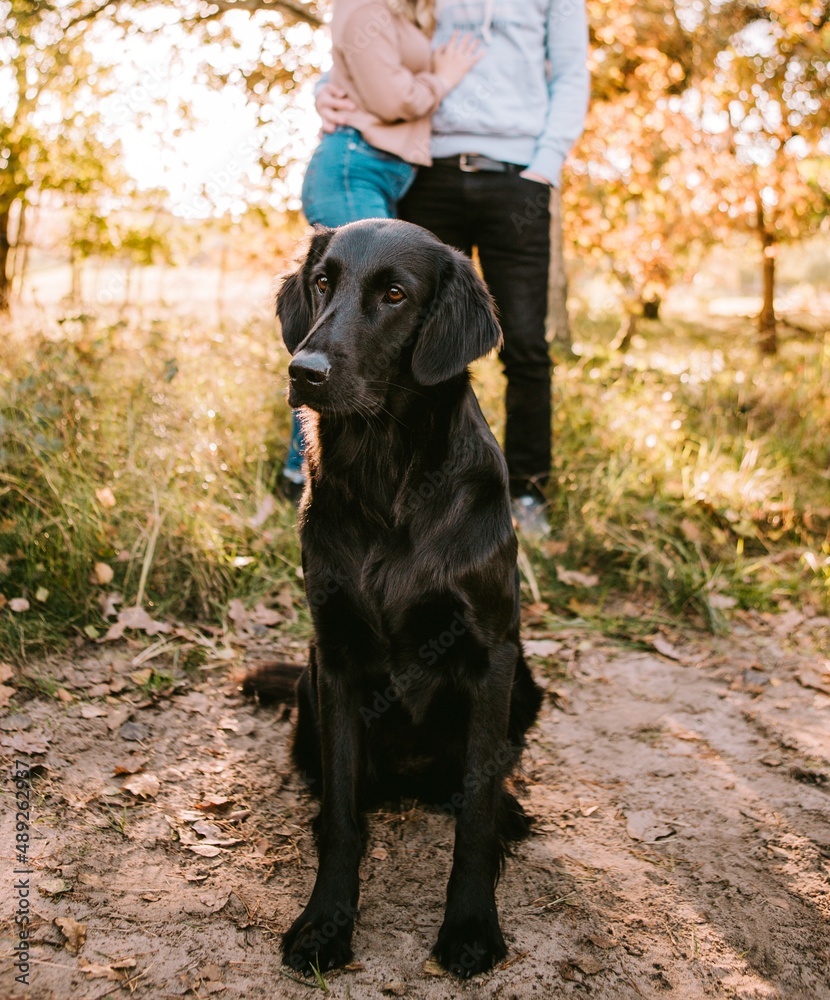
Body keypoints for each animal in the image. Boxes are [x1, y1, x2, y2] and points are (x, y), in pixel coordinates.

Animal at [266, 219, 544, 976]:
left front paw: (472, 924)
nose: (304, 371)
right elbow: (342, 816)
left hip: (527, 681)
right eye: (322, 281)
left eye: (394, 295)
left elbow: (475, 816)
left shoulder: (491, 652)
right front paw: (326, 924)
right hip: (306, 685)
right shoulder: (333, 655)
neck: (387, 473)